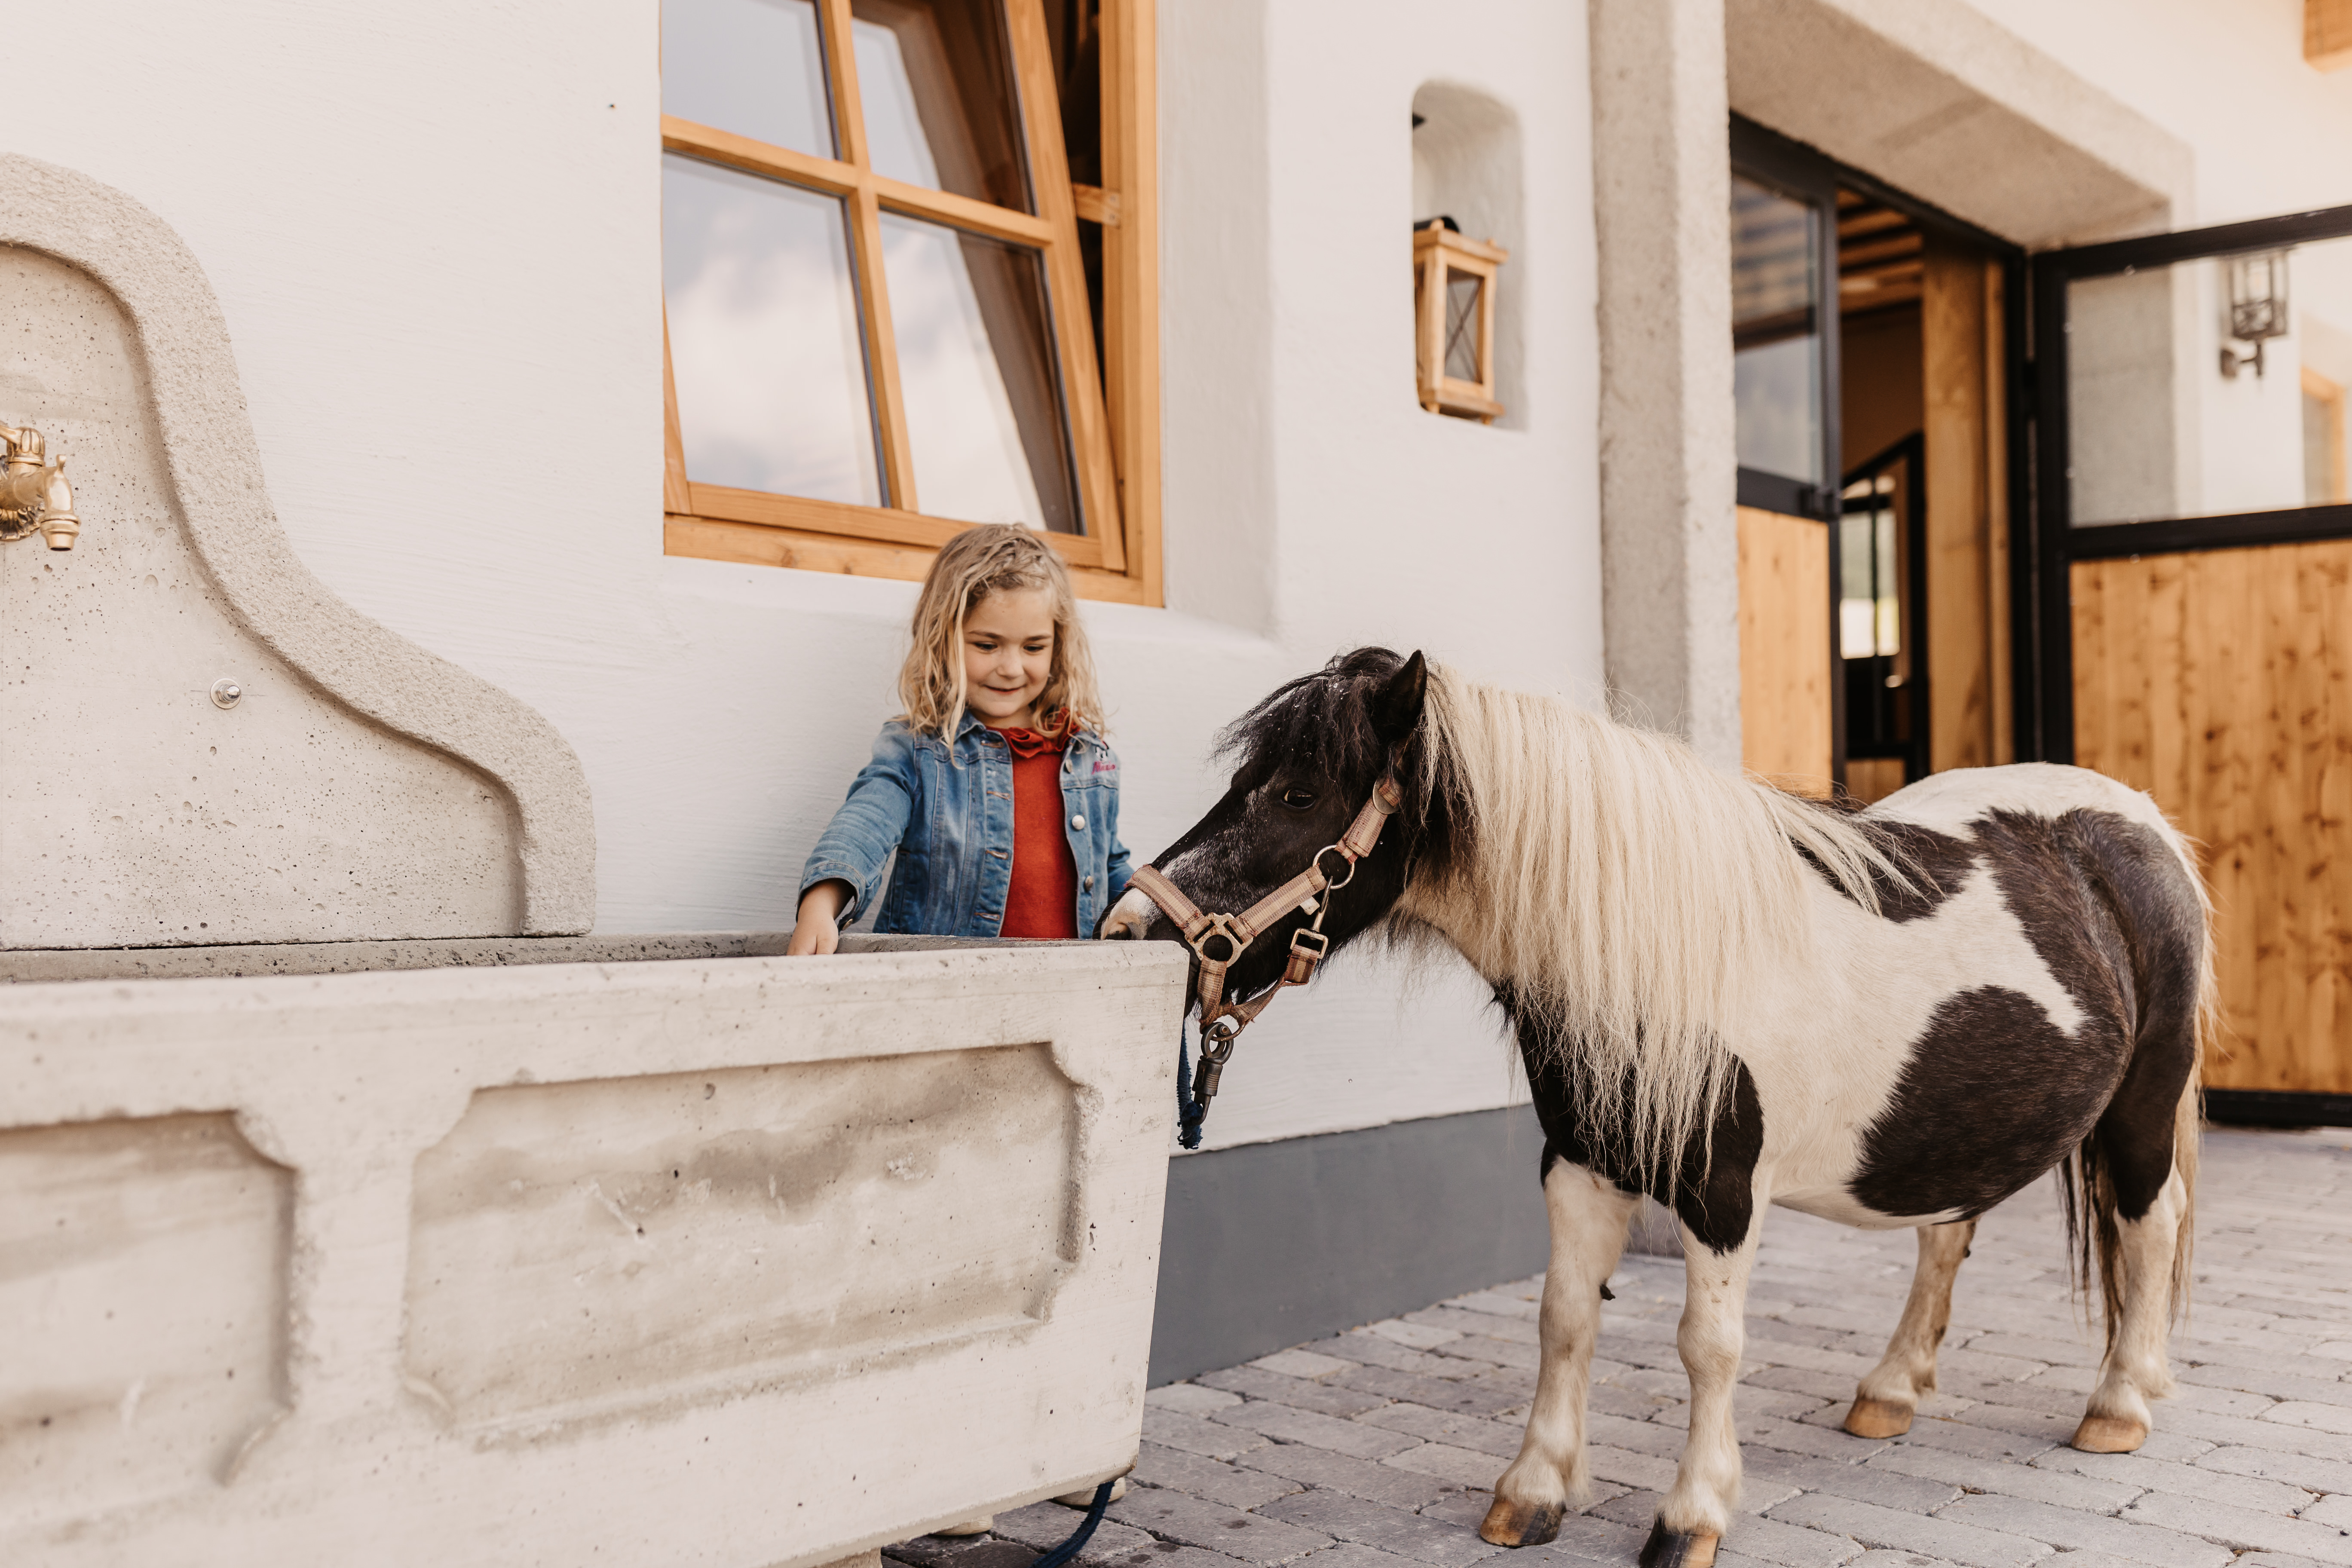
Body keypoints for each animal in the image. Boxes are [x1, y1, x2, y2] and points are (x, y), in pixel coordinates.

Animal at [1103, 647, 2211, 1568]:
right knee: (1947, 1234)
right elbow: (1561, 1319)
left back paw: (2120, 1401)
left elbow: (1705, 1346)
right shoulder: (1577, 1165)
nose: (1128, 926)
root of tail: (2136, 822)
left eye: (1296, 792)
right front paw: (1532, 1493)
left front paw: (1690, 1517)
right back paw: (1889, 1392)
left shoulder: (1723, 1192)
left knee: (2148, 1222)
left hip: (2143, 1102)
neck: (1660, 960)